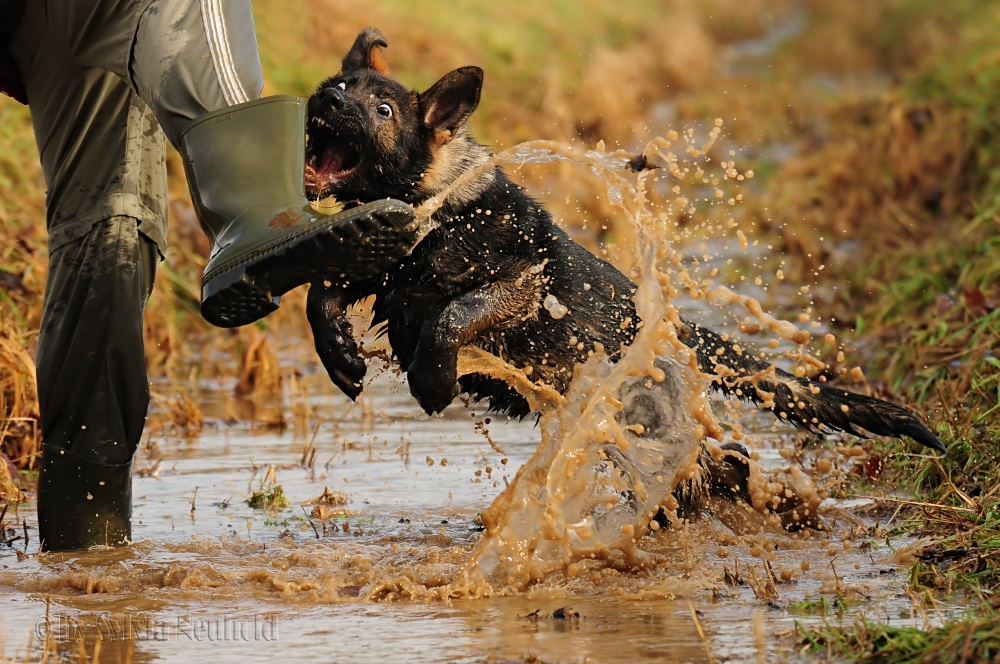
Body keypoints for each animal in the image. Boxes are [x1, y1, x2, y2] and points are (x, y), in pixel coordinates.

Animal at [300, 28, 940, 528]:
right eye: (339, 82)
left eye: (383, 111)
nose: (325, 96)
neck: (436, 202)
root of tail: (679, 332)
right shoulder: (379, 268)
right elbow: (319, 296)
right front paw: (340, 357)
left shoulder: (521, 283)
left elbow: (453, 315)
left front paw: (431, 383)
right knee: (715, 463)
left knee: (711, 463)